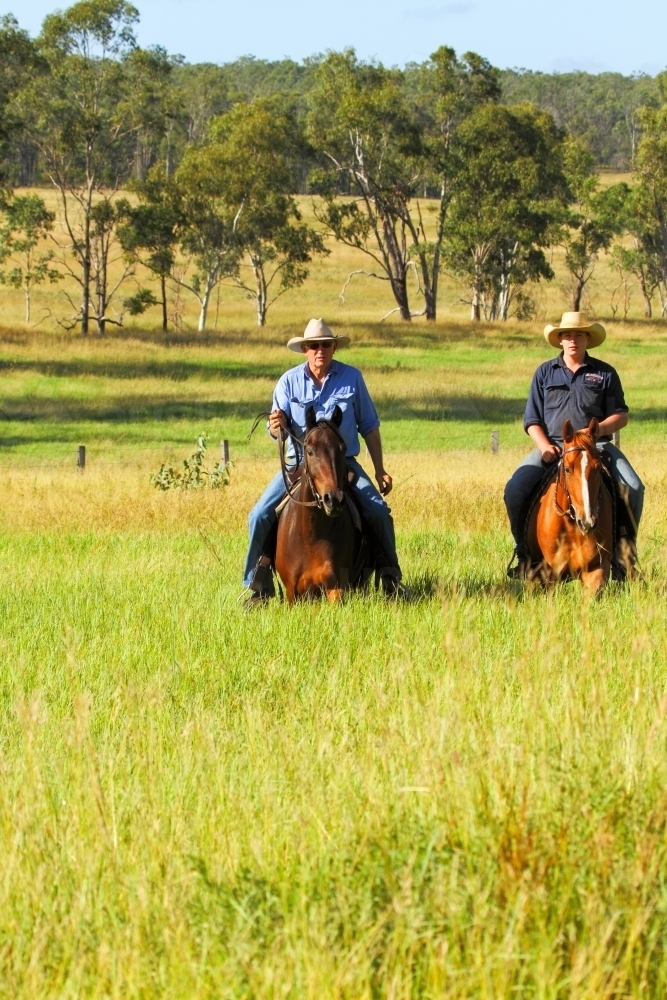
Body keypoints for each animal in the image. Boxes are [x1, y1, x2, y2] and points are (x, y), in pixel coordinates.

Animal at [276, 404, 362, 600]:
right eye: (310, 451)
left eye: (343, 449)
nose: (334, 499)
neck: (311, 537)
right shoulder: (292, 593)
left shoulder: (336, 588)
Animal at [528, 416, 616, 592]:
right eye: (567, 469)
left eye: (598, 467)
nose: (587, 522)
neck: (570, 525)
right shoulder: (551, 574)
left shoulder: (596, 568)